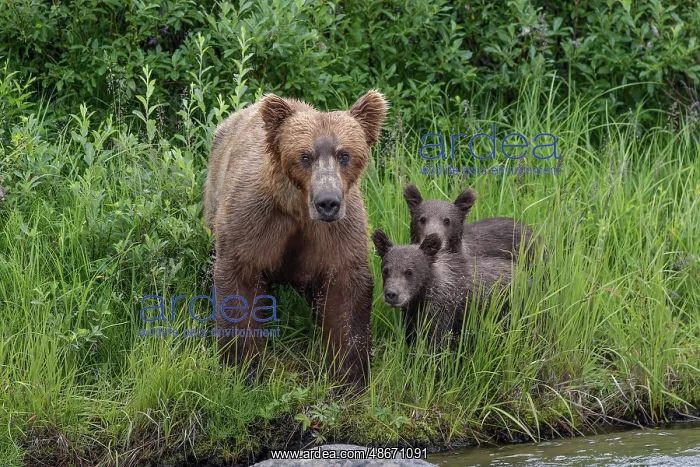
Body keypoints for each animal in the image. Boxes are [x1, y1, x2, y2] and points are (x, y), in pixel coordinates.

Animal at [204, 90, 388, 389]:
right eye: (305, 156)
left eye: (344, 154)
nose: (328, 202)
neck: (298, 210)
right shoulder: (255, 220)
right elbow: (239, 281)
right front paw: (242, 366)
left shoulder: (338, 232)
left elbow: (345, 290)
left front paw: (348, 375)